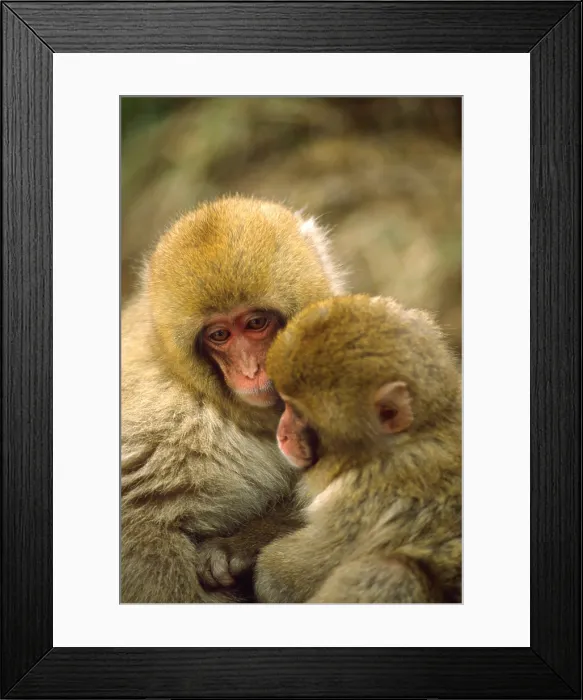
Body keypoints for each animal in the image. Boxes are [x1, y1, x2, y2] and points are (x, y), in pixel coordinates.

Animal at [121, 195, 346, 603]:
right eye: (219, 335)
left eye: (256, 323)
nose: (250, 370)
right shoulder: (170, 422)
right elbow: (141, 525)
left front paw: (238, 548)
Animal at [254, 294, 461, 603]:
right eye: (285, 404)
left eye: (298, 413)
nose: (284, 433)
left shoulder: (361, 497)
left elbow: (281, 576)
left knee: (391, 572)